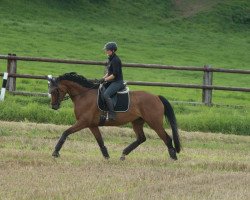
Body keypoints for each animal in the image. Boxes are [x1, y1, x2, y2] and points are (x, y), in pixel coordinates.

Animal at [48, 72, 181, 160]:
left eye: (55, 90)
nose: (54, 106)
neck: (83, 95)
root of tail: (156, 97)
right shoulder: (92, 125)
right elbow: (100, 141)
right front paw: (106, 156)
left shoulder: (83, 122)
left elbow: (65, 133)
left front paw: (55, 152)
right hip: (137, 122)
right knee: (141, 138)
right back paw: (123, 154)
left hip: (154, 122)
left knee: (166, 138)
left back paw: (173, 157)